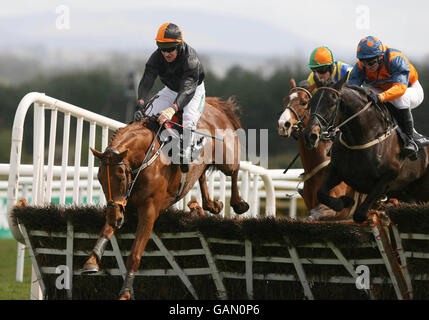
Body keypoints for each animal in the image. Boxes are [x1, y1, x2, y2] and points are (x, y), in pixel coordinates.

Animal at [81, 96, 247, 298]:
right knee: (201, 173)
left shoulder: (149, 210)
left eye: (121, 177)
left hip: (226, 156)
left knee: (235, 169)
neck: (145, 161)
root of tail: (213, 105)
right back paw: (211, 204)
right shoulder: (121, 204)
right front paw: (91, 261)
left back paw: (239, 204)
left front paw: (125, 292)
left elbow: (135, 254)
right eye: (100, 179)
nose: (115, 219)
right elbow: (106, 230)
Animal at [302, 75, 428, 222]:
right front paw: (343, 202)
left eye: (332, 103)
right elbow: (321, 194)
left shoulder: (388, 177)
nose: (310, 135)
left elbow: (360, 214)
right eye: (310, 102)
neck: (360, 140)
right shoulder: (335, 169)